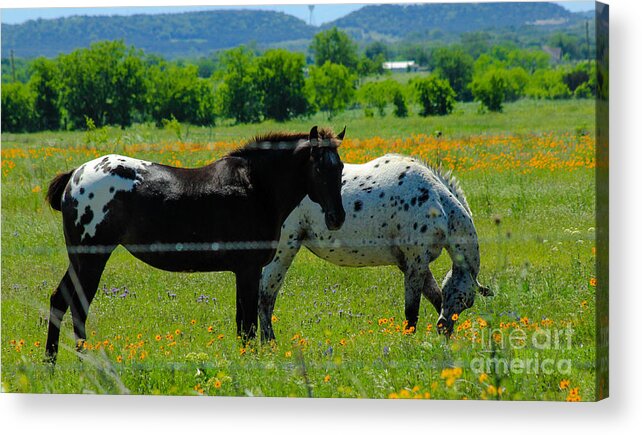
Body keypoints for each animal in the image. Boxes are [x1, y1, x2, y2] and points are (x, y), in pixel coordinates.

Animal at [44, 126, 344, 364]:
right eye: (319, 167)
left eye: (340, 167)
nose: (336, 218)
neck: (257, 187)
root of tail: (75, 175)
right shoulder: (248, 269)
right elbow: (248, 325)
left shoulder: (244, 271)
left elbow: (242, 323)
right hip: (91, 260)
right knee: (78, 306)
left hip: (79, 261)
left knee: (60, 300)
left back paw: (52, 363)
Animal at [260, 153, 490, 340]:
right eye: (466, 301)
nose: (444, 328)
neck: (436, 201)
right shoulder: (415, 262)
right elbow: (412, 311)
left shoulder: (411, 263)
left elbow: (435, 296)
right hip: (282, 251)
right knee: (266, 296)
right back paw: (269, 343)